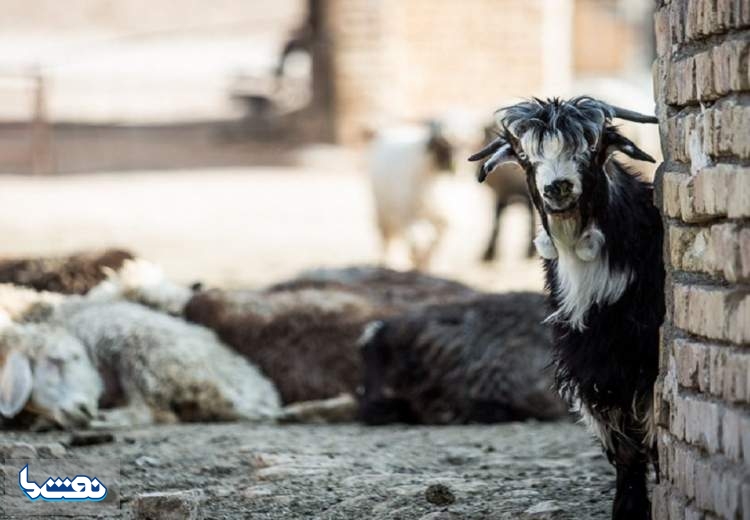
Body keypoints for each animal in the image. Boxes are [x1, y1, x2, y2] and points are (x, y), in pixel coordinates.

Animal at [470, 95, 664, 516]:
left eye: (593, 146)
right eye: (523, 155)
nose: (557, 186)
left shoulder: (640, 359)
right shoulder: (592, 362)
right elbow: (622, 442)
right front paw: (627, 507)